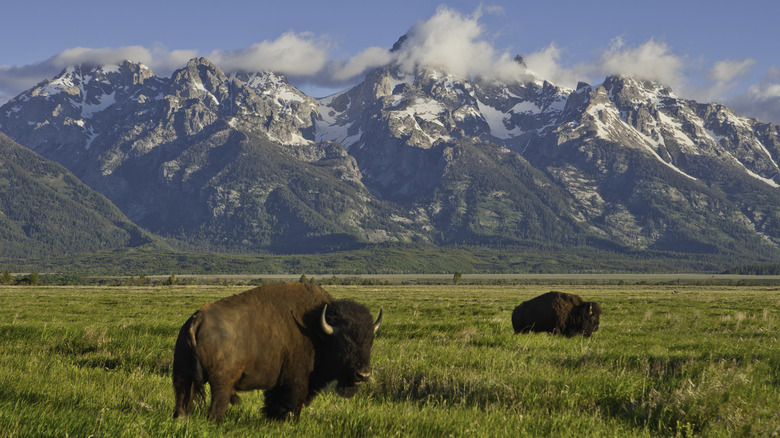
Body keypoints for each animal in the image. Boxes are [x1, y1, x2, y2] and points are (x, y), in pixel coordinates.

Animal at [172, 280, 382, 420]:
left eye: (370, 341)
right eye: (344, 342)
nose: (363, 374)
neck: (318, 329)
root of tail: (197, 320)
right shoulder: (297, 381)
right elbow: (293, 404)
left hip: (183, 377)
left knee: (182, 404)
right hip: (221, 382)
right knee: (216, 409)